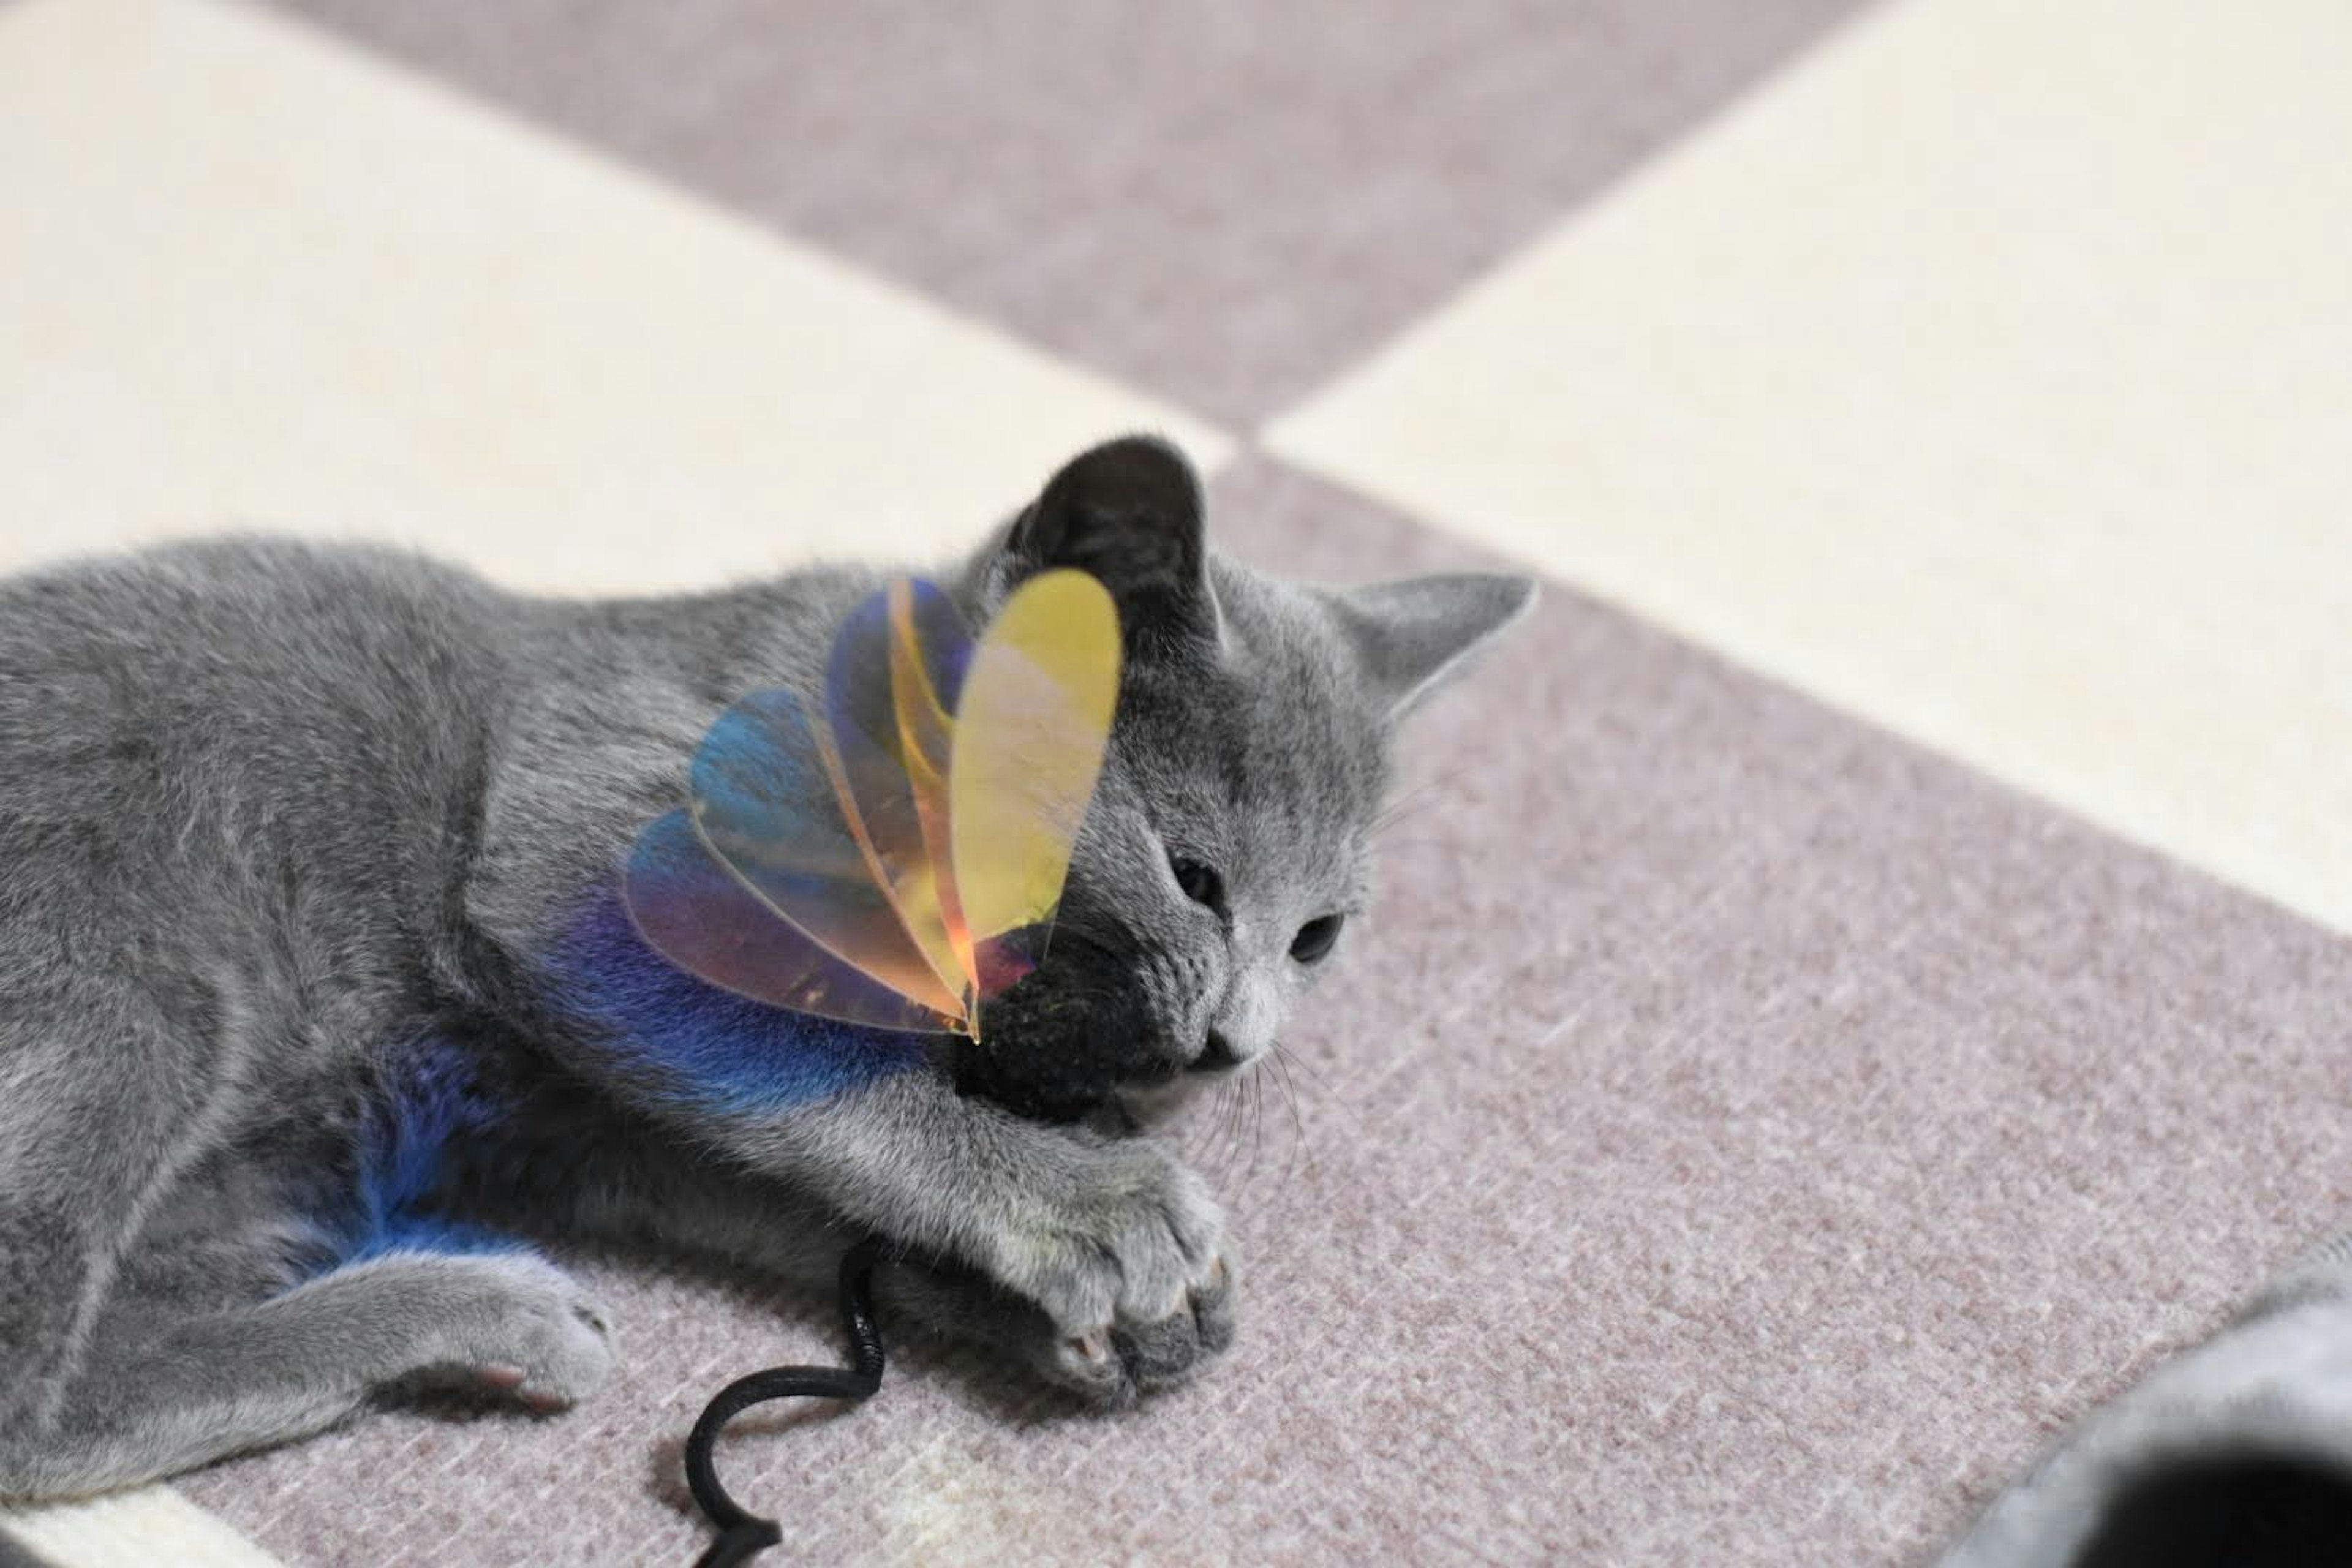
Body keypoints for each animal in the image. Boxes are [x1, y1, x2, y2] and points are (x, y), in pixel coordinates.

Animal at [0, 435, 1533, 1504]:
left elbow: (804, 1179)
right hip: (132, 987)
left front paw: (1119, 1295)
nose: (1236, 1042)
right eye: (1194, 874)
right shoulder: (579, 872)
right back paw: (489, 1303)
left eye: (1319, 934)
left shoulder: (594, 1116)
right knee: (32, 1409)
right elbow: (845, 1094)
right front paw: (1094, 1202)